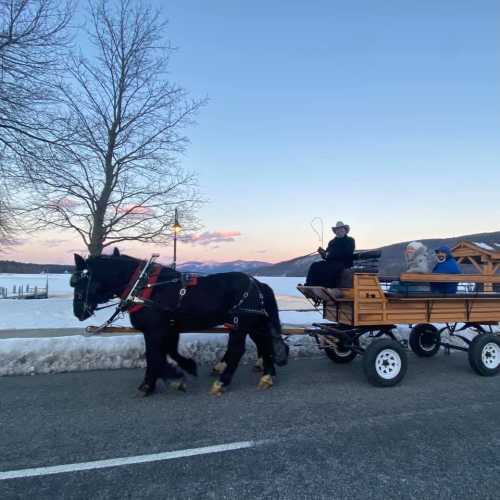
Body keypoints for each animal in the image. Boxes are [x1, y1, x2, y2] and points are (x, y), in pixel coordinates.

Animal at [71, 252, 290, 396]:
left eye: (78, 281)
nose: (78, 312)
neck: (144, 286)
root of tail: (258, 284)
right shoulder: (169, 328)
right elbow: (168, 352)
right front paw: (185, 368)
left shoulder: (154, 330)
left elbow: (154, 356)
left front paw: (165, 381)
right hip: (253, 323)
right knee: (264, 344)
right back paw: (267, 375)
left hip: (240, 323)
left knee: (237, 350)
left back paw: (222, 382)